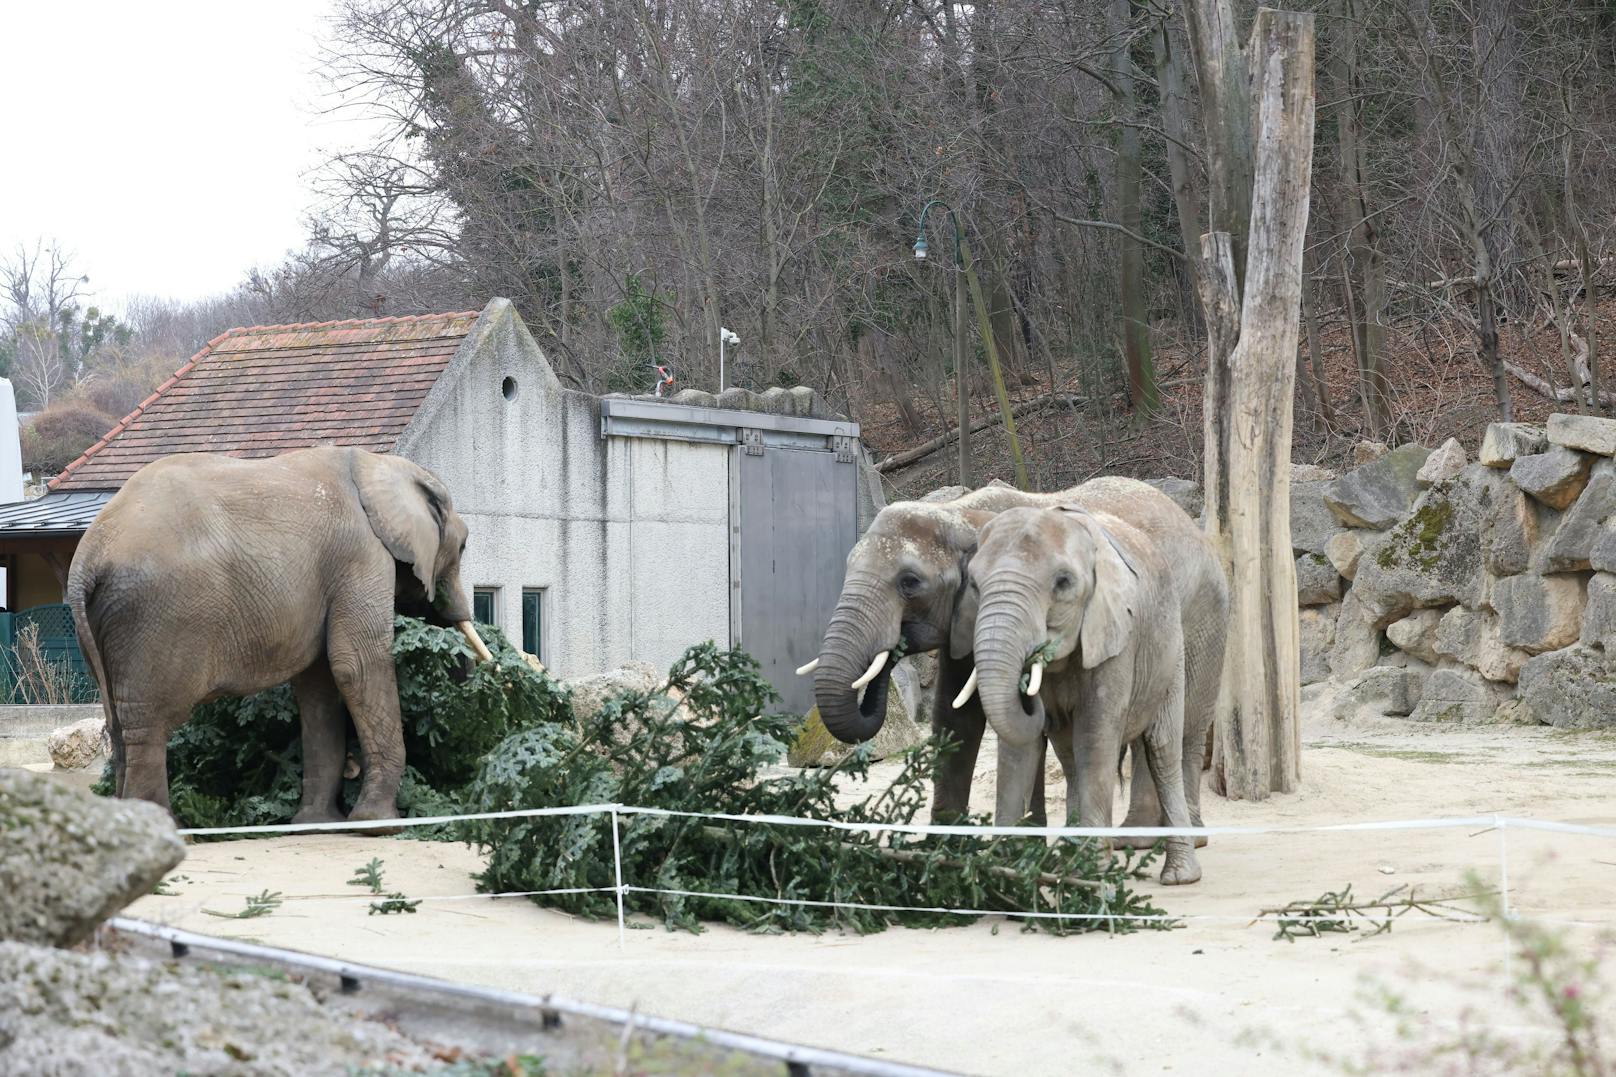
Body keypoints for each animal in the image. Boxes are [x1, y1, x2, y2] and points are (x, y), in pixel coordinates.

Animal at [66, 443, 491, 821]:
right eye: (463, 548)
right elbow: (356, 665)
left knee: (118, 722)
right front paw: (376, 824)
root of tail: (86, 558)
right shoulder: (360, 557)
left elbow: (319, 686)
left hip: (108, 623)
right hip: (154, 617)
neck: (378, 464)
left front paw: (318, 825)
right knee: (150, 722)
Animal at [956, 485, 1221, 879]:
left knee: (1163, 747)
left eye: (1063, 583)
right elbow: (1019, 748)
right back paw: (1068, 857)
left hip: (1173, 648)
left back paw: (1179, 874)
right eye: (974, 583)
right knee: (1070, 757)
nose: (1028, 680)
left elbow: (1096, 735)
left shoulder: (1115, 635)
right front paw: (1000, 873)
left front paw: (1091, 873)